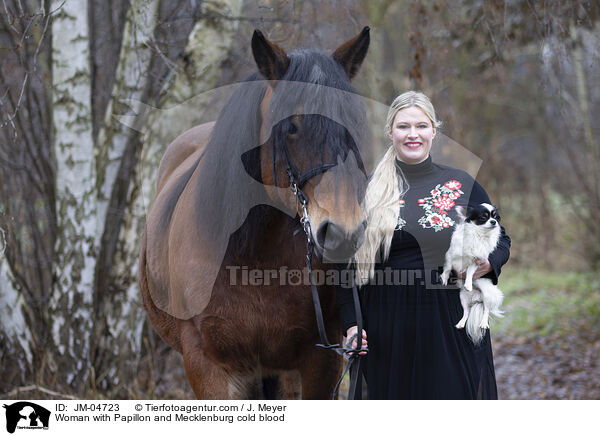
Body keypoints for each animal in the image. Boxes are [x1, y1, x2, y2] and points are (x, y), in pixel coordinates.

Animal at [139, 27, 370, 398]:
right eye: (291, 126)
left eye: (356, 121)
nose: (343, 231)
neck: (253, 256)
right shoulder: (207, 366)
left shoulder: (321, 362)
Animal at [438, 204, 504, 344]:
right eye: (483, 217)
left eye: (495, 217)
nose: (493, 222)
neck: (479, 235)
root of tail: (477, 299)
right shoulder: (451, 255)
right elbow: (448, 268)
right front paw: (444, 278)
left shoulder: (476, 261)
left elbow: (469, 272)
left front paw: (468, 283)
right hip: (463, 298)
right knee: (466, 312)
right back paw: (461, 323)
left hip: (487, 296)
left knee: (486, 310)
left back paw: (483, 323)